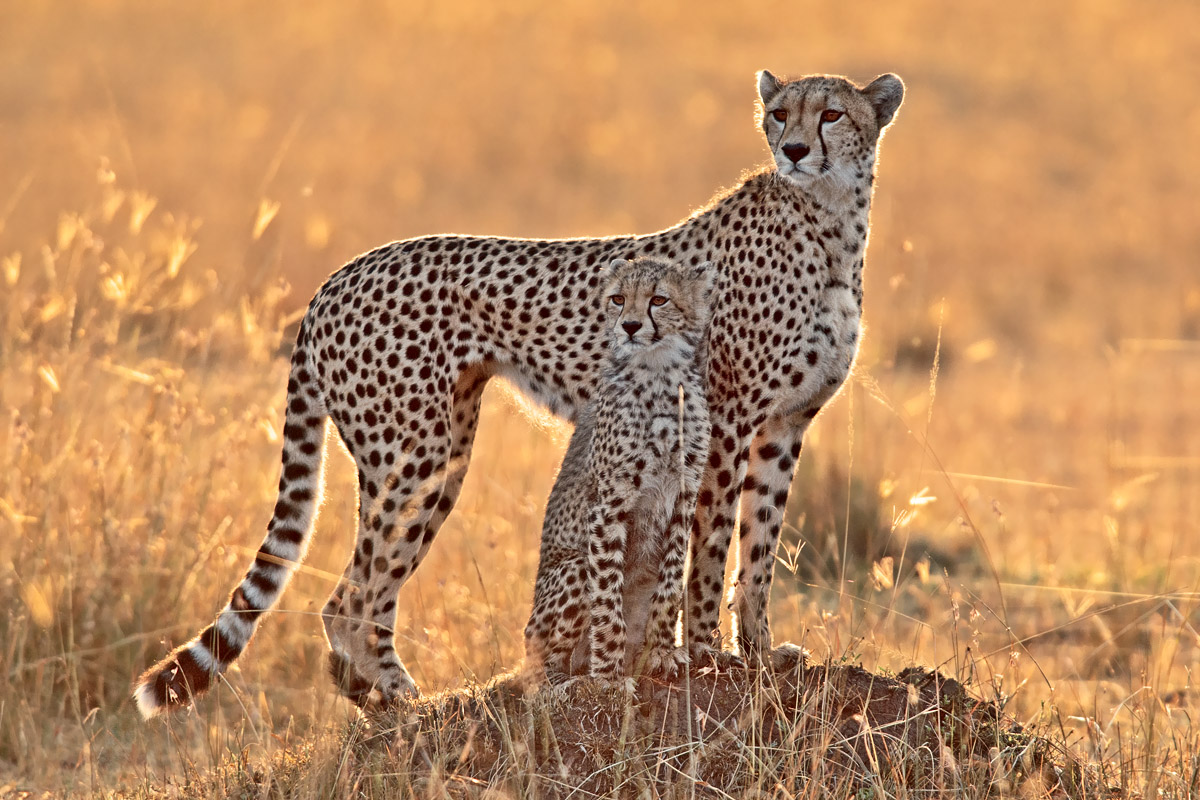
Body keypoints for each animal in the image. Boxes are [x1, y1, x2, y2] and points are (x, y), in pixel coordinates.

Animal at [523, 256, 713, 684]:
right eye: (618, 298)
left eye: (659, 299)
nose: (629, 326)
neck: (658, 372)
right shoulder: (609, 501)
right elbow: (607, 595)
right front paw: (608, 678)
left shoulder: (685, 493)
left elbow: (670, 583)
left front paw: (662, 651)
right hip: (571, 571)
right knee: (538, 667)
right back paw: (565, 684)